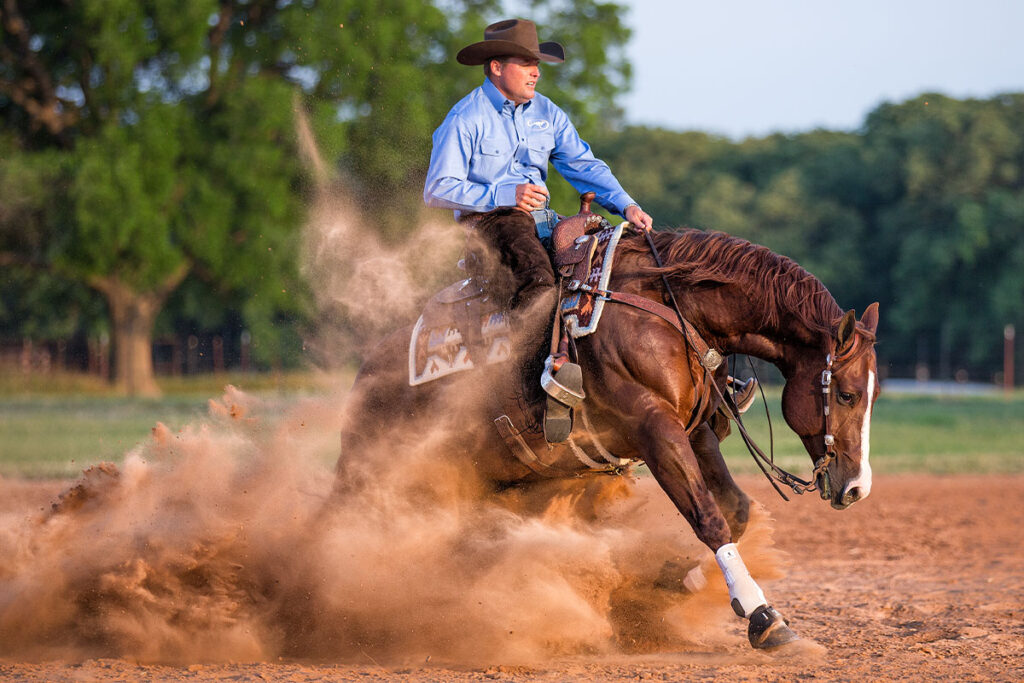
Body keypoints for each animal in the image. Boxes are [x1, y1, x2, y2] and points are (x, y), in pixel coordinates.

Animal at [334, 210, 880, 650]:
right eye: (848, 394)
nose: (856, 488)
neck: (666, 309)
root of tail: (366, 373)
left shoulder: (694, 431)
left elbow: (735, 510)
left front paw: (676, 582)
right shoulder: (654, 428)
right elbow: (707, 517)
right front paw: (763, 617)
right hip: (377, 475)